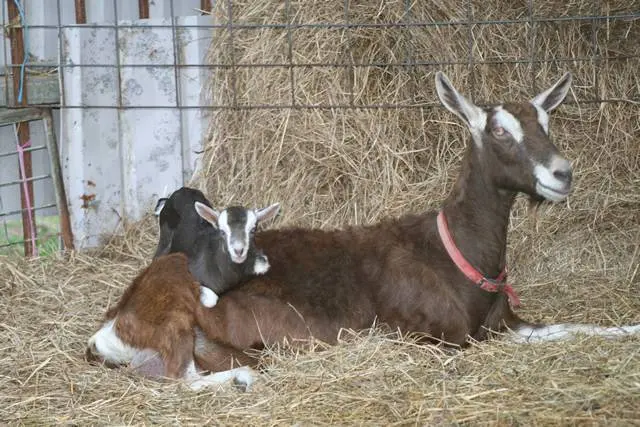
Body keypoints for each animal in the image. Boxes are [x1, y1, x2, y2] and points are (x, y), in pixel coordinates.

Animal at [86, 72, 640, 388]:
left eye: (546, 120)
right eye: (499, 130)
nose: (562, 174)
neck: (456, 253)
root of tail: (112, 324)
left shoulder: (506, 324)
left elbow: (571, 327)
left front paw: (629, 329)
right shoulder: (439, 338)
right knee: (184, 374)